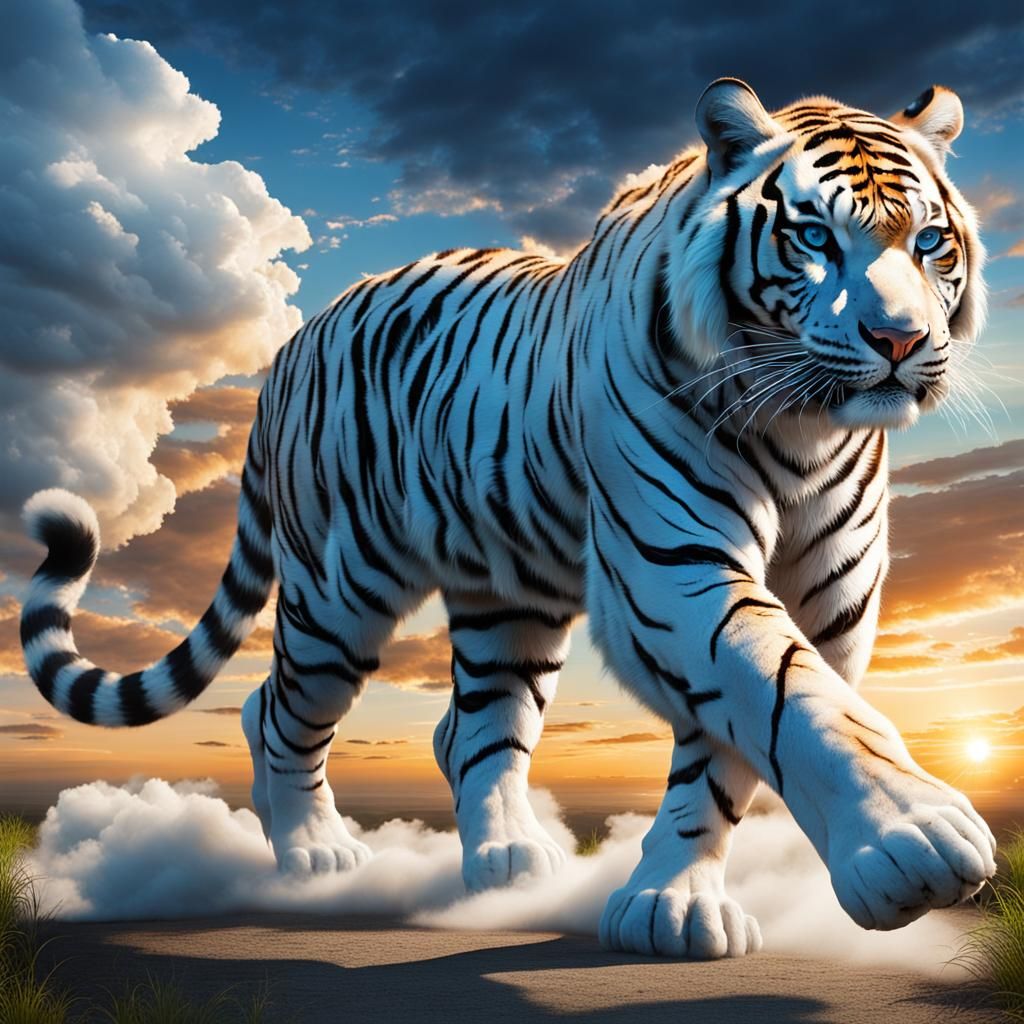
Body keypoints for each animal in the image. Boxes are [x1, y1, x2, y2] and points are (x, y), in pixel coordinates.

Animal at [20, 77, 995, 959]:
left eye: (930, 243)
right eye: (816, 237)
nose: (900, 341)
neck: (801, 424)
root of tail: (295, 342)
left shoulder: (831, 593)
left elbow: (741, 739)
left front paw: (674, 904)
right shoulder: (672, 566)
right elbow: (788, 693)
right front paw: (910, 840)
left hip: (507, 599)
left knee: (474, 727)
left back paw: (508, 860)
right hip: (339, 590)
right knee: (277, 708)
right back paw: (313, 854)